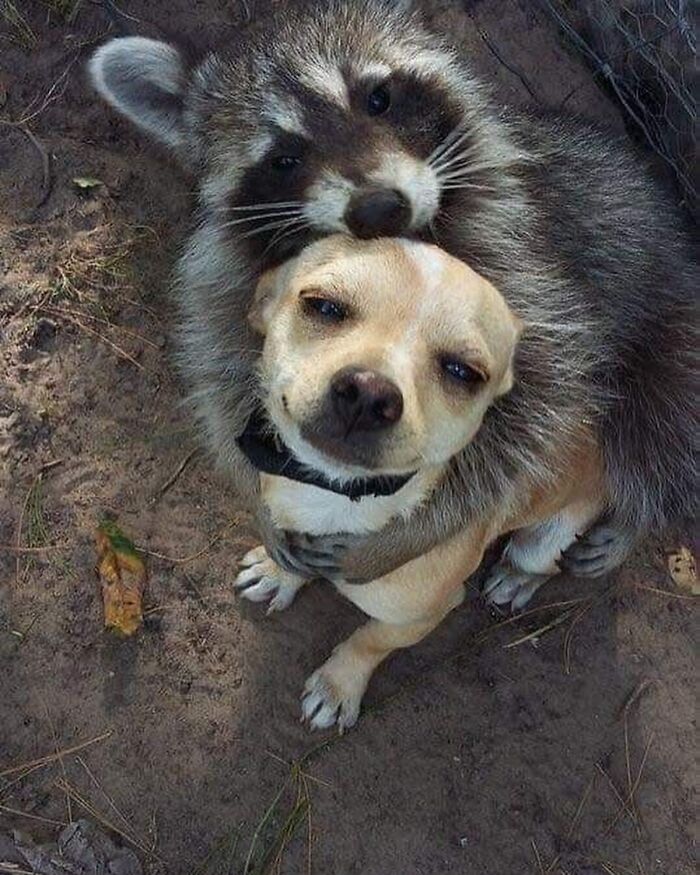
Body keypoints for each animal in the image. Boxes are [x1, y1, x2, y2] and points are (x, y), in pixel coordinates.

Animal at [89, 0, 697, 604]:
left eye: (377, 98)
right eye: (284, 158)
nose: (378, 207)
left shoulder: (526, 263)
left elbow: (532, 419)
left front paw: (416, 532)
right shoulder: (229, 274)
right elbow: (224, 374)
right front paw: (260, 500)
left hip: (671, 329)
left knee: (660, 430)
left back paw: (630, 521)